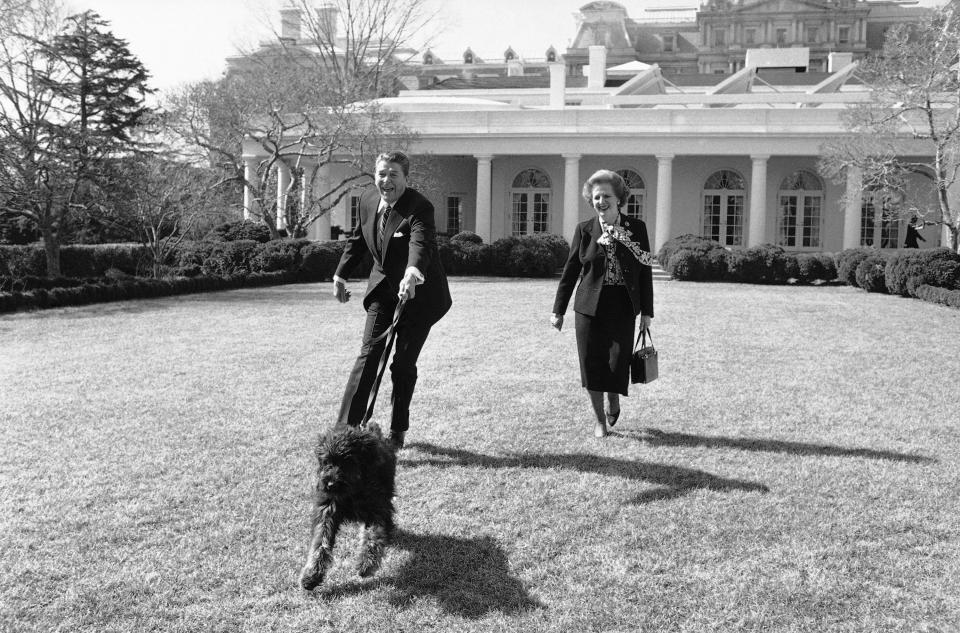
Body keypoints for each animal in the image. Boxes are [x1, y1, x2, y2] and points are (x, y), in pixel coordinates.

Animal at [296, 422, 394, 592]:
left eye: (348, 460)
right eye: (327, 461)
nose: (330, 484)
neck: (351, 492)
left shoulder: (377, 508)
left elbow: (373, 536)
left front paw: (366, 563)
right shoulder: (327, 509)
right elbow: (320, 542)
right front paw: (311, 575)